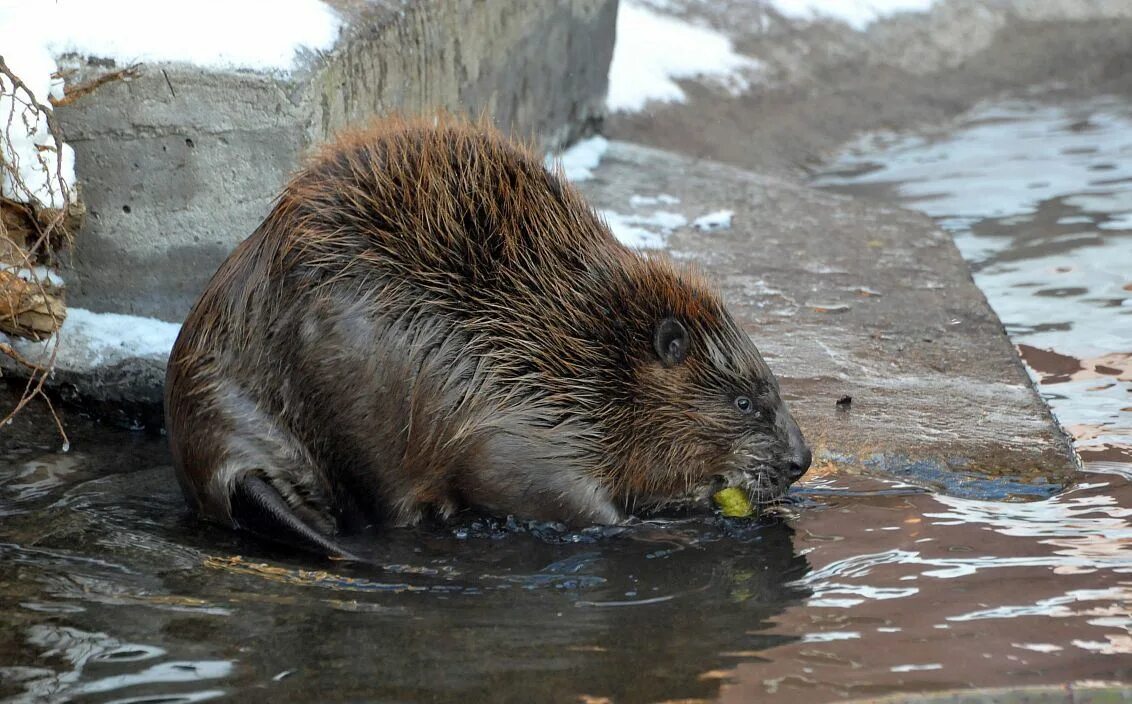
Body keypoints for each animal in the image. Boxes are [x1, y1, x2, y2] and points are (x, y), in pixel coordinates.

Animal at [164, 117, 810, 556]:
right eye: (744, 401)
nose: (801, 460)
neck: (585, 347)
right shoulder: (517, 410)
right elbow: (528, 481)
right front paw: (661, 529)